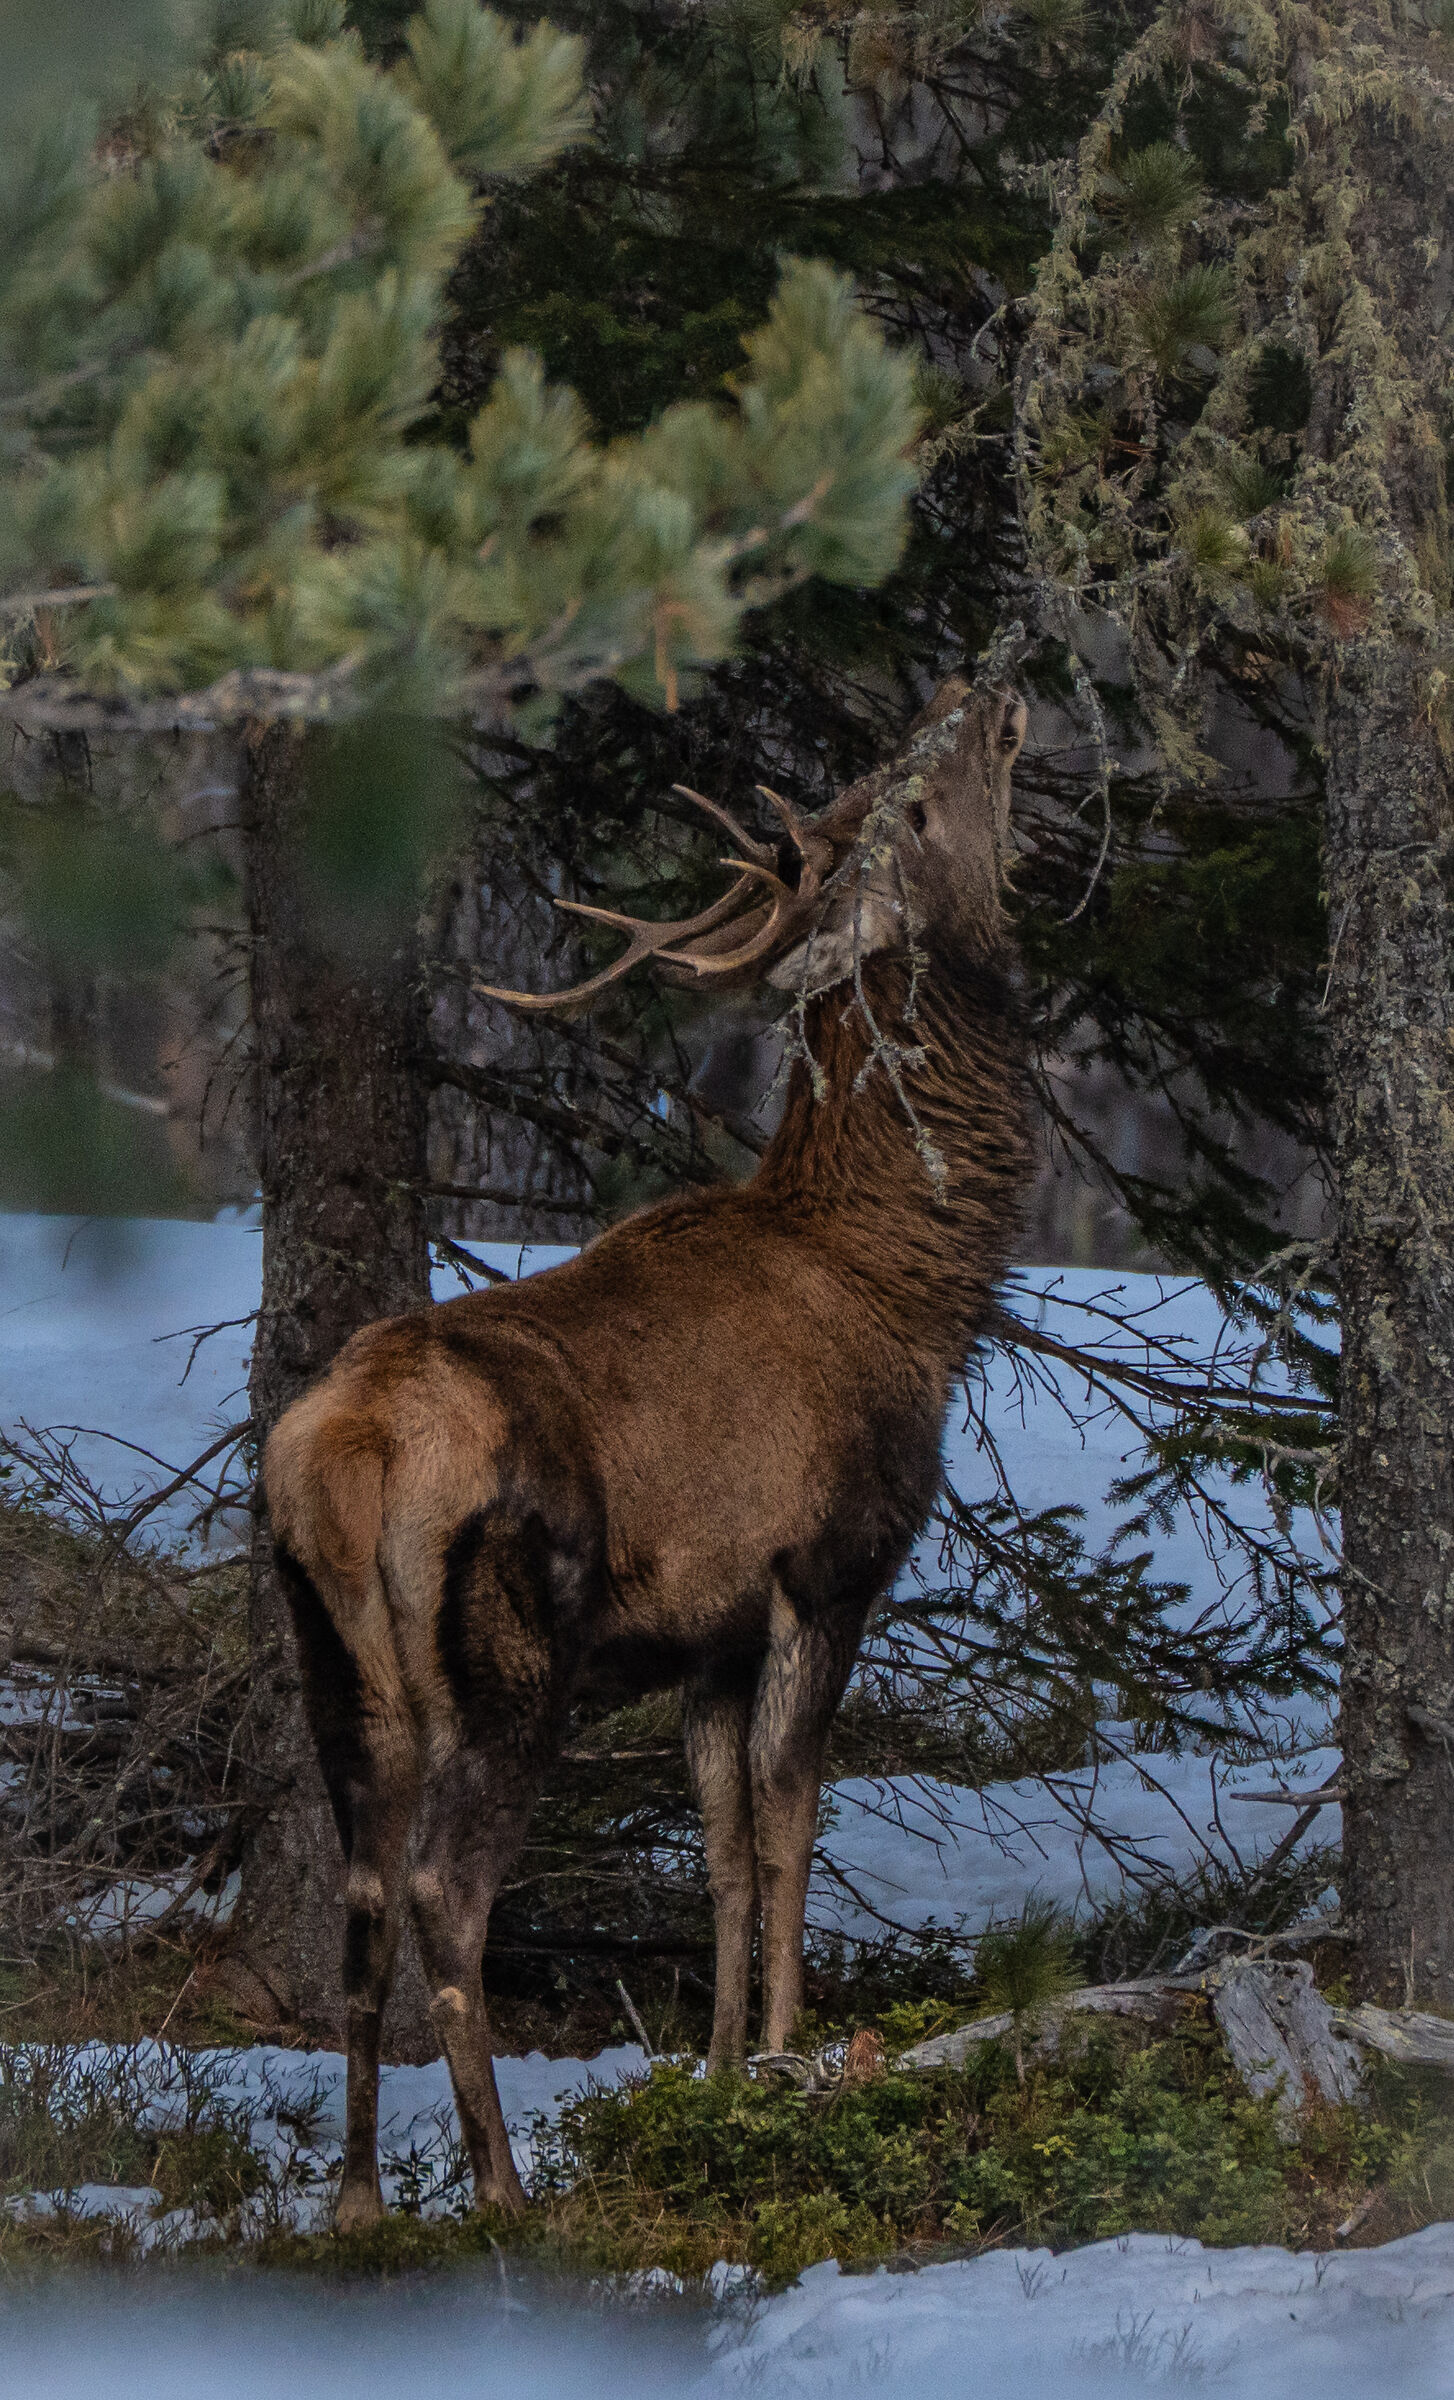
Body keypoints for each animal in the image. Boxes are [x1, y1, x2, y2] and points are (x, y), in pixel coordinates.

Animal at [262, 674, 1031, 2229]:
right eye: (915, 806)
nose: (981, 692)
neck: (912, 1289)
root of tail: (352, 1454)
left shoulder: (710, 1634)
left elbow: (721, 1849)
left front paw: (723, 2073)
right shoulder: (827, 1570)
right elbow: (793, 1823)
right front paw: (793, 2058)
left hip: (332, 1661)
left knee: (361, 1896)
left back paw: (360, 2202)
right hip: (509, 1653)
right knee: (442, 1891)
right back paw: (500, 2188)